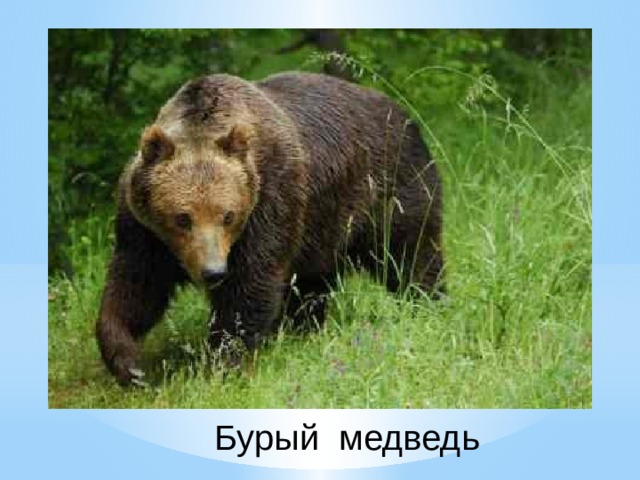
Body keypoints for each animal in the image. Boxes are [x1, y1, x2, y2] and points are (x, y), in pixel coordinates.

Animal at [96, 71, 444, 385]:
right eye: (183, 217)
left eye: (228, 215)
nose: (213, 272)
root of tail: (404, 113)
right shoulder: (145, 231)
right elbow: (136, 286)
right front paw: (129, 364)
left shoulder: (270, 202)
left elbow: (251, 284)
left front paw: (222, 362)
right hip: (323, 228)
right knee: (312, 284)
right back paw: (304, 329)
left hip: (387, 189)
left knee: (410, 253)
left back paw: (426, 302)